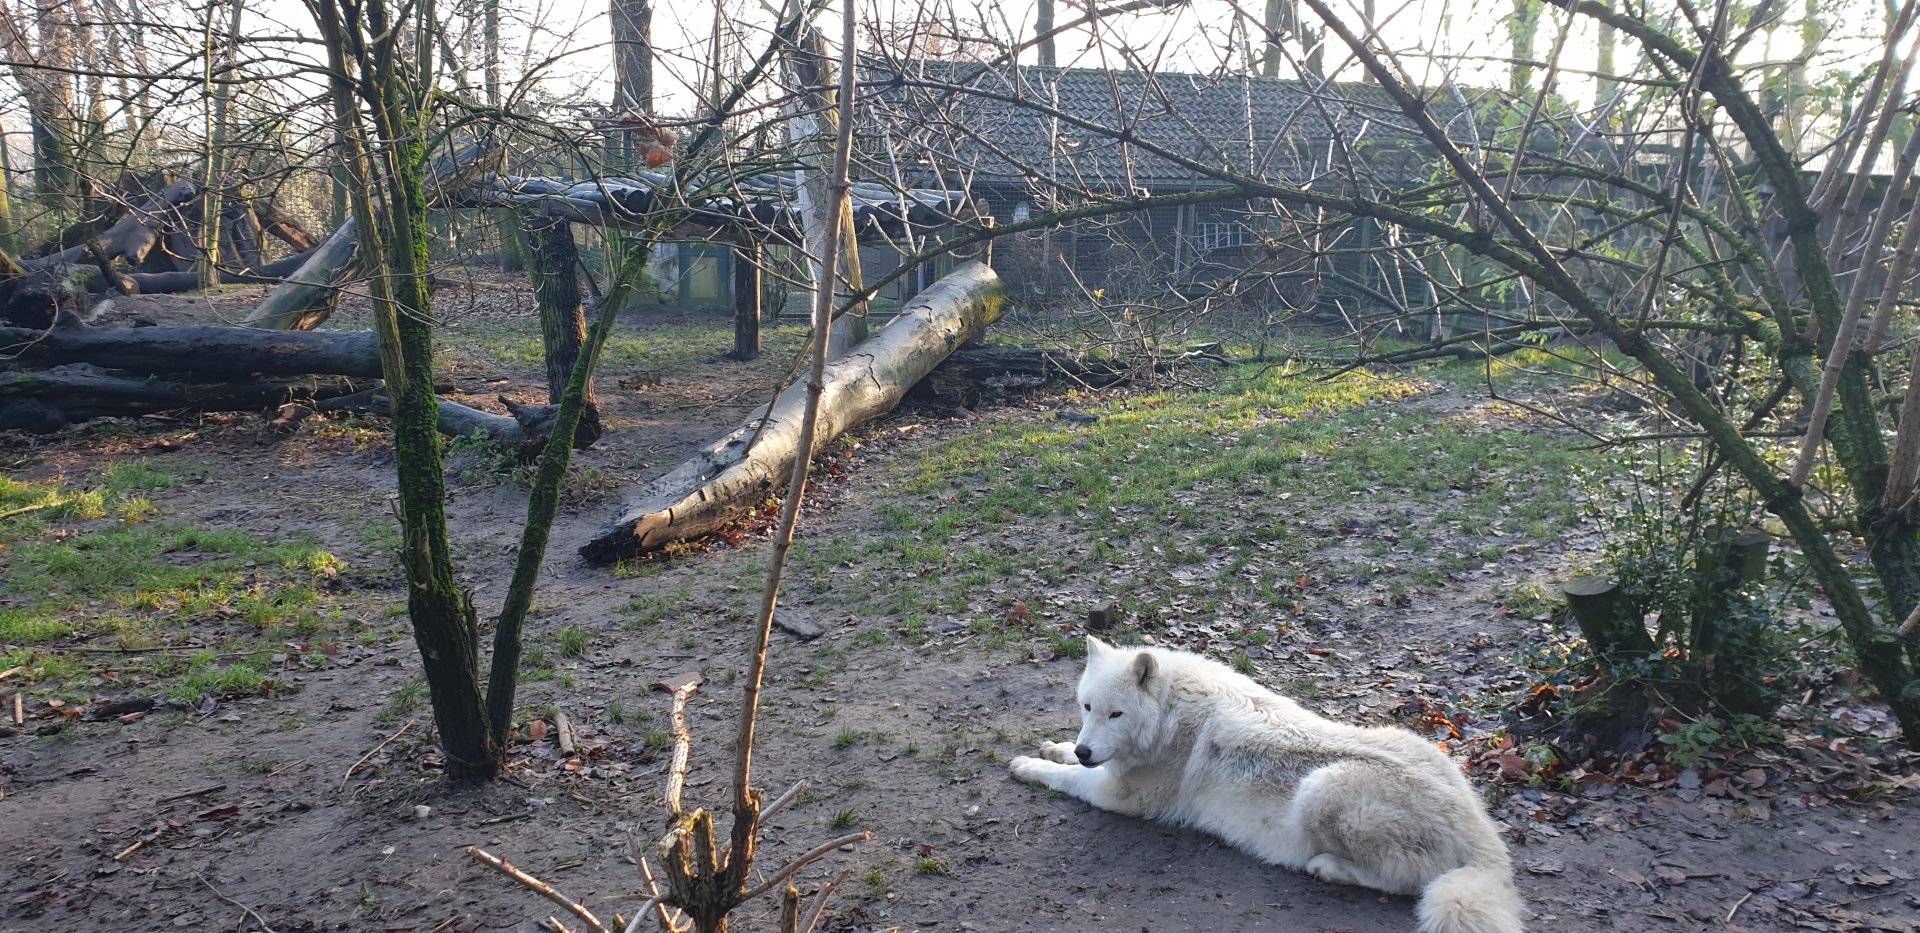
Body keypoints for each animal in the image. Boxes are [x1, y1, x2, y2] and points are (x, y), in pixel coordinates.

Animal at [1009, 637, 1524, 933]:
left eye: (1116, 714)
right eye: (1087, 707)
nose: (1085, 750)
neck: (1171, 713)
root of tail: (1486, 841)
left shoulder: (1121, 798)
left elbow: (1068, 780)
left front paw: (1029, 765)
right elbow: (1069, 761)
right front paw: (1056, 748)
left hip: (1322, 787)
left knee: (1403, 883)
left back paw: (1328, 868)